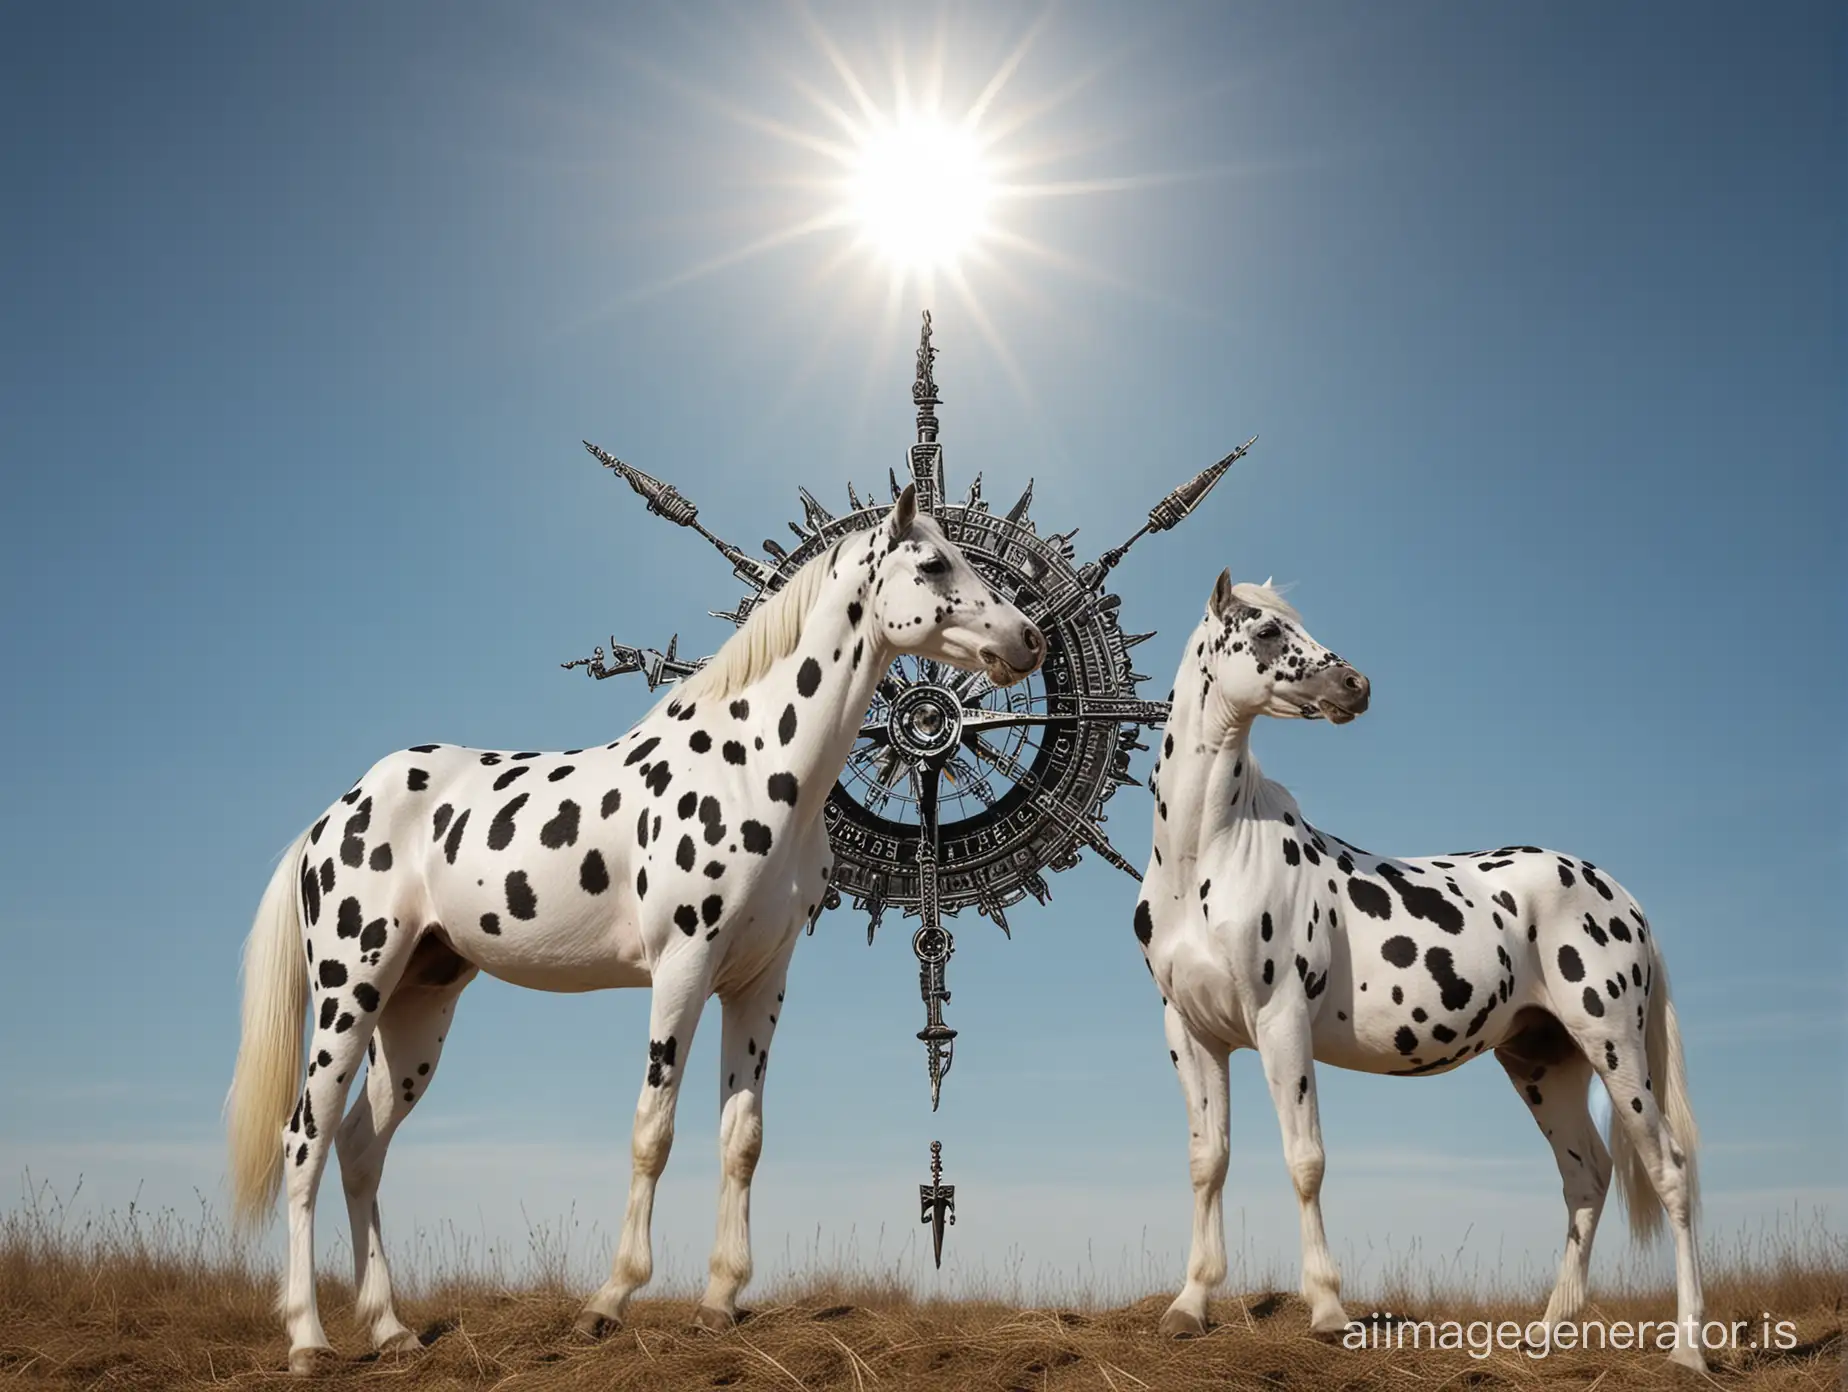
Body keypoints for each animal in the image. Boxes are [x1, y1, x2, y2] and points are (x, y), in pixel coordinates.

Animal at [223, 484, 1049, 1367]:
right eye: (931, 564)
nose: (1028, 640)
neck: (754, 762)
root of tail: (332, 816)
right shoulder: (683, 966)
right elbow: (653, 1130)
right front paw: (610, 1301)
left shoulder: (759, 981)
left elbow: (742, 1137)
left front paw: (721, 1300)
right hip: (350, 990)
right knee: (304, 1141)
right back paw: (308, 1340)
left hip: (416, 1007)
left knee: (360, 1150)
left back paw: (391, 1329)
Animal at [1138, 573, 1700, 1367]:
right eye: (1268, 632)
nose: (1357, 685)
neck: (1207, 857)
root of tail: (1622, 896)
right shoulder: (1193, 1033)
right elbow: (1206, 1162)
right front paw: (1189, 1306)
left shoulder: (1281, 1023)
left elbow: (1305, 1160)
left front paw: (1328, 1312)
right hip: (1543, 1060)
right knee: (1586, 1178)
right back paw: (1547, 1330)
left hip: (1613, 1043)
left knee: (1670, 1173)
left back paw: (1689, 1349)